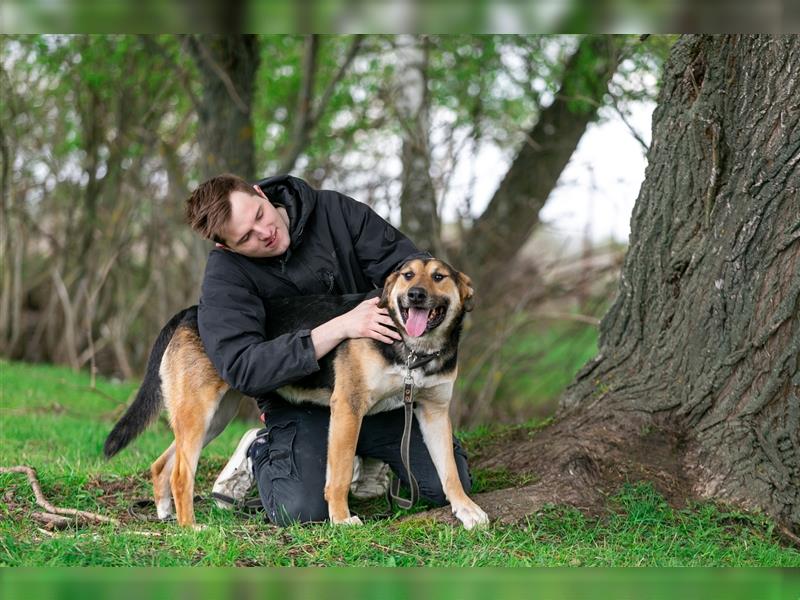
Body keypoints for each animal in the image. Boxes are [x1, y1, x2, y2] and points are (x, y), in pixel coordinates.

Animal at [103, 258, 490, 528]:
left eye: (438, 277)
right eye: (408, 275)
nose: (415, 296)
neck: (411, 350)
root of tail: (190, 311)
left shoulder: (434, 413)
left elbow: (450, 474)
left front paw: (466, 509)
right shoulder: (348, 408)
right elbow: (338, 474)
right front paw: (341, 519)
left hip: (214, 417)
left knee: (163, 464)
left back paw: (166, 514)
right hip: (201, 412)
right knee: (182, 473)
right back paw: (191, 527)